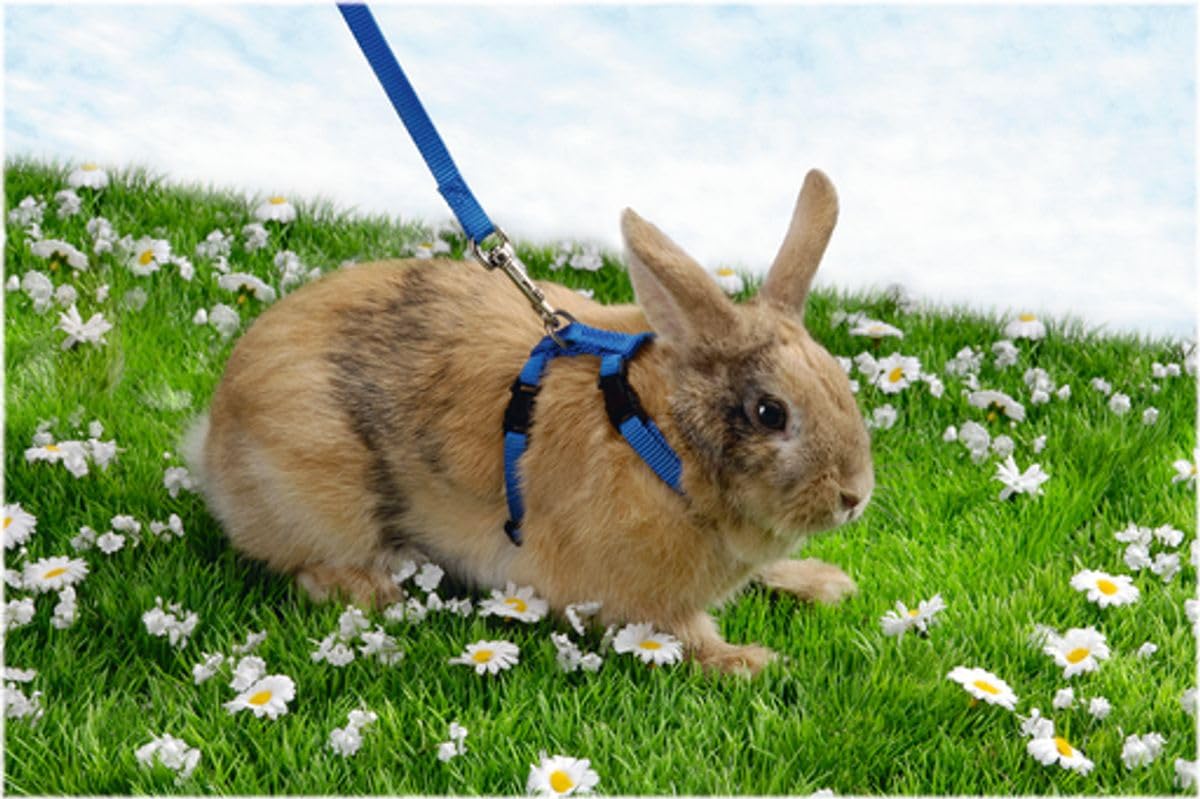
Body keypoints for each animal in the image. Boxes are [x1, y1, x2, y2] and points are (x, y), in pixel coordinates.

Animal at [185, 168, 873, 675]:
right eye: (770, 413)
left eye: (837, 384)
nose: (854, 497)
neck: (660, 441)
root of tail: (214, 436)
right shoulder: (638, 600)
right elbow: (687, 635)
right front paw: (752, 662)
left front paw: (824, 583)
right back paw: (379, 592)